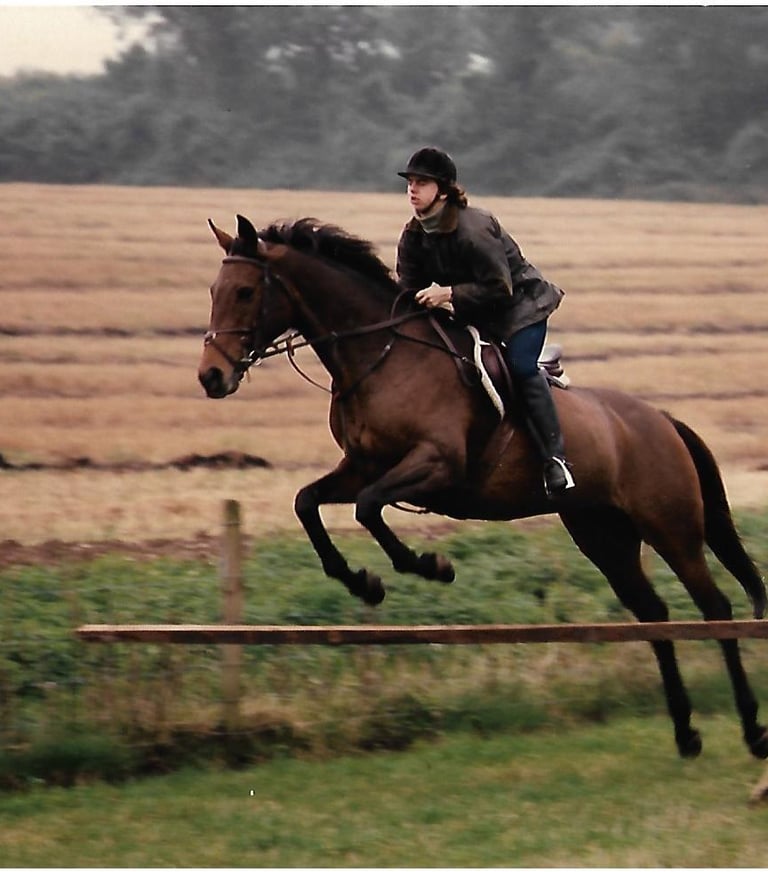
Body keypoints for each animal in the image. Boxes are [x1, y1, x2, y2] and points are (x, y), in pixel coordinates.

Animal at [198, 213, 767, 760]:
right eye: (213, 291)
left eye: (245, 292)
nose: (211, 377)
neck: (381, 354)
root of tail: (663, 419)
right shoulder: (361, 465)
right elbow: (309, 503)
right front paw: (363, 582)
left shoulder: (436, 465)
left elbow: (367, 507)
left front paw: (431, 566)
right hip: (604, 537)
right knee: (655, 615)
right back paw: (686, 734)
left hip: (672, 528)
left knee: (715, 609)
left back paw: (752, 730)